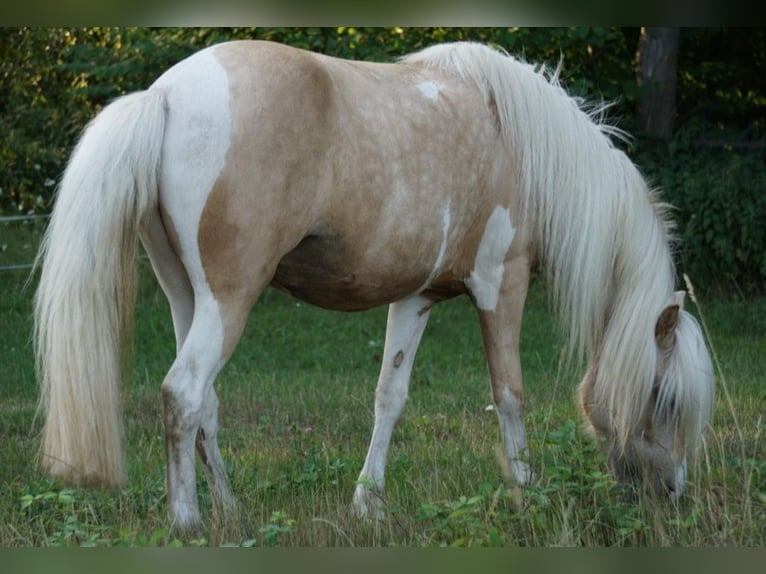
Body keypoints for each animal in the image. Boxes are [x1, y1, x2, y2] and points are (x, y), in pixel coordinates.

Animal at [34, 40, 715, 534]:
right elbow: (510, 393)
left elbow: (390, 396)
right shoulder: (502, 284)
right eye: (666, 398)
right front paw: (527, 491)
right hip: (229, 301)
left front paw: (368, 503)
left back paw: (228, 508)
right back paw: (187, 521)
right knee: (183, 394)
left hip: (187, 297)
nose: (674, 493)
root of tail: (166, 94)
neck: (524, 147)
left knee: (207, 407)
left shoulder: (415, 299)